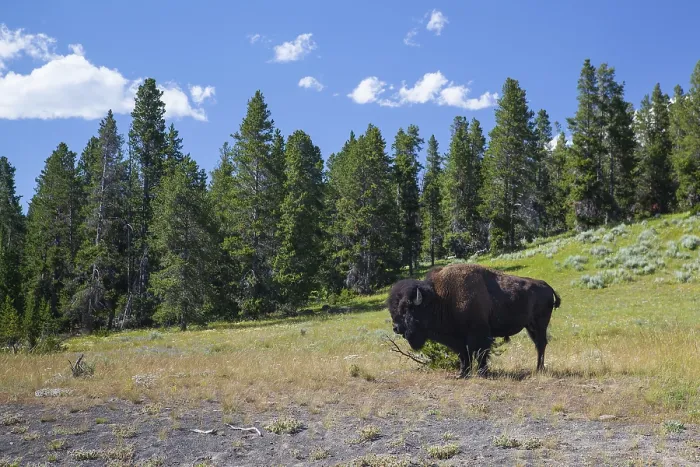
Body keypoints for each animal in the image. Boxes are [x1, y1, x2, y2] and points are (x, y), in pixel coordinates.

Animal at [387, 263, 561, 377]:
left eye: (407, 309)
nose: (396, 327)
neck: (441, 298)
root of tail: (546, 285)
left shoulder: (479, 334)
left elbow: (479, 353)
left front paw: (482, 372)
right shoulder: (458, 339)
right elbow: (464, 355)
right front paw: (462, 373)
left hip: (540, 324)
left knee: (541, 344)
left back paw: (539, 369)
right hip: (530, 326)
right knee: (539, 344)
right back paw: (538, 369)